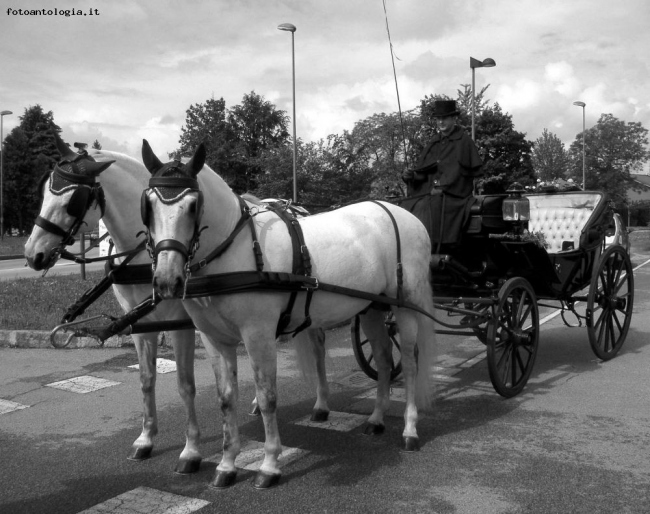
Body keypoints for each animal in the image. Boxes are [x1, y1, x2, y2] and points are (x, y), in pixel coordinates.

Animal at [141, 140, 436, 488]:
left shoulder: (258, 335)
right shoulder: (215, 339)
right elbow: (226, 399)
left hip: (405, 307)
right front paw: (226, 464)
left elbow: (267, 397)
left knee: (411, 363)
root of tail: (404, 214)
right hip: (371, 308)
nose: (166, 281)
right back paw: (376, 419)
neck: (236, 250)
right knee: (385, 358)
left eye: (192, 205)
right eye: (148, 205)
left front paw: (269, 464)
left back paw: (410, 429)